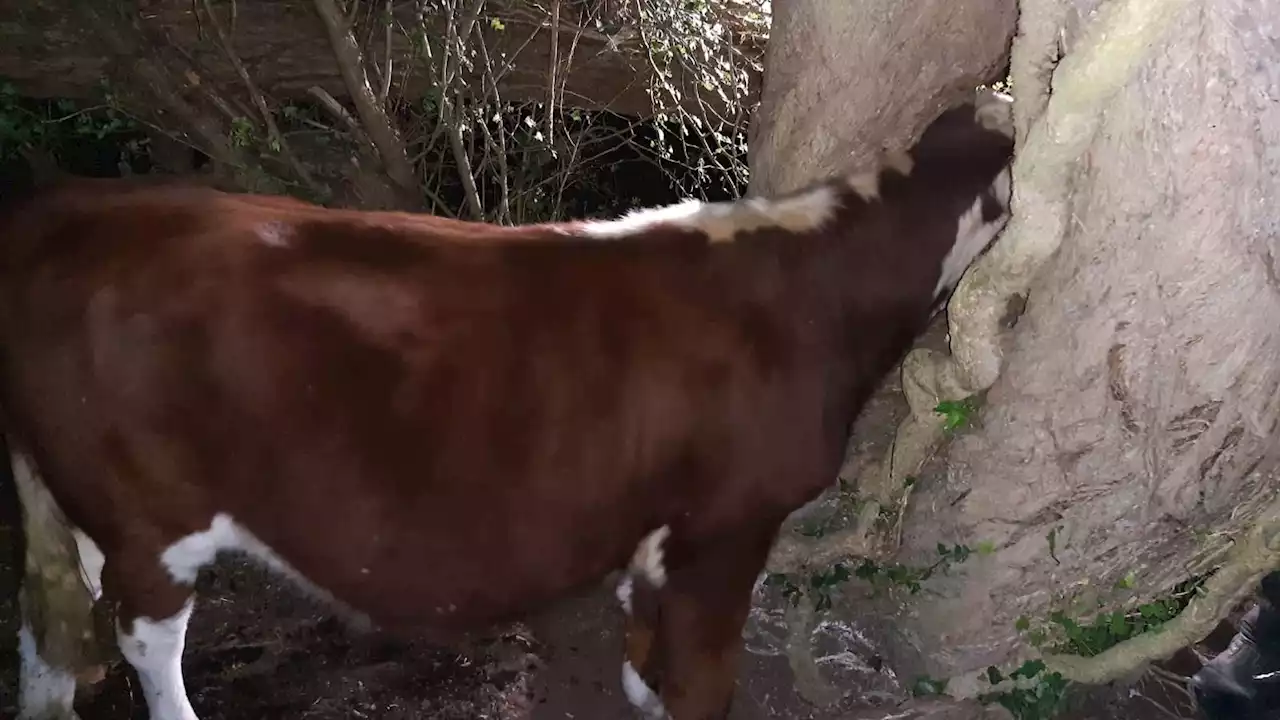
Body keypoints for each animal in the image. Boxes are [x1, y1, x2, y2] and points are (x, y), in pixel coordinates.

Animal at [5, 92, 1013, 712]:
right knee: (145, 643)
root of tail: (71, 207)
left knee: (48, 633)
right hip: (147, 517)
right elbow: (701, 678)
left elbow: (644, 643)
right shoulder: (728, 524)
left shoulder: (658, 528)